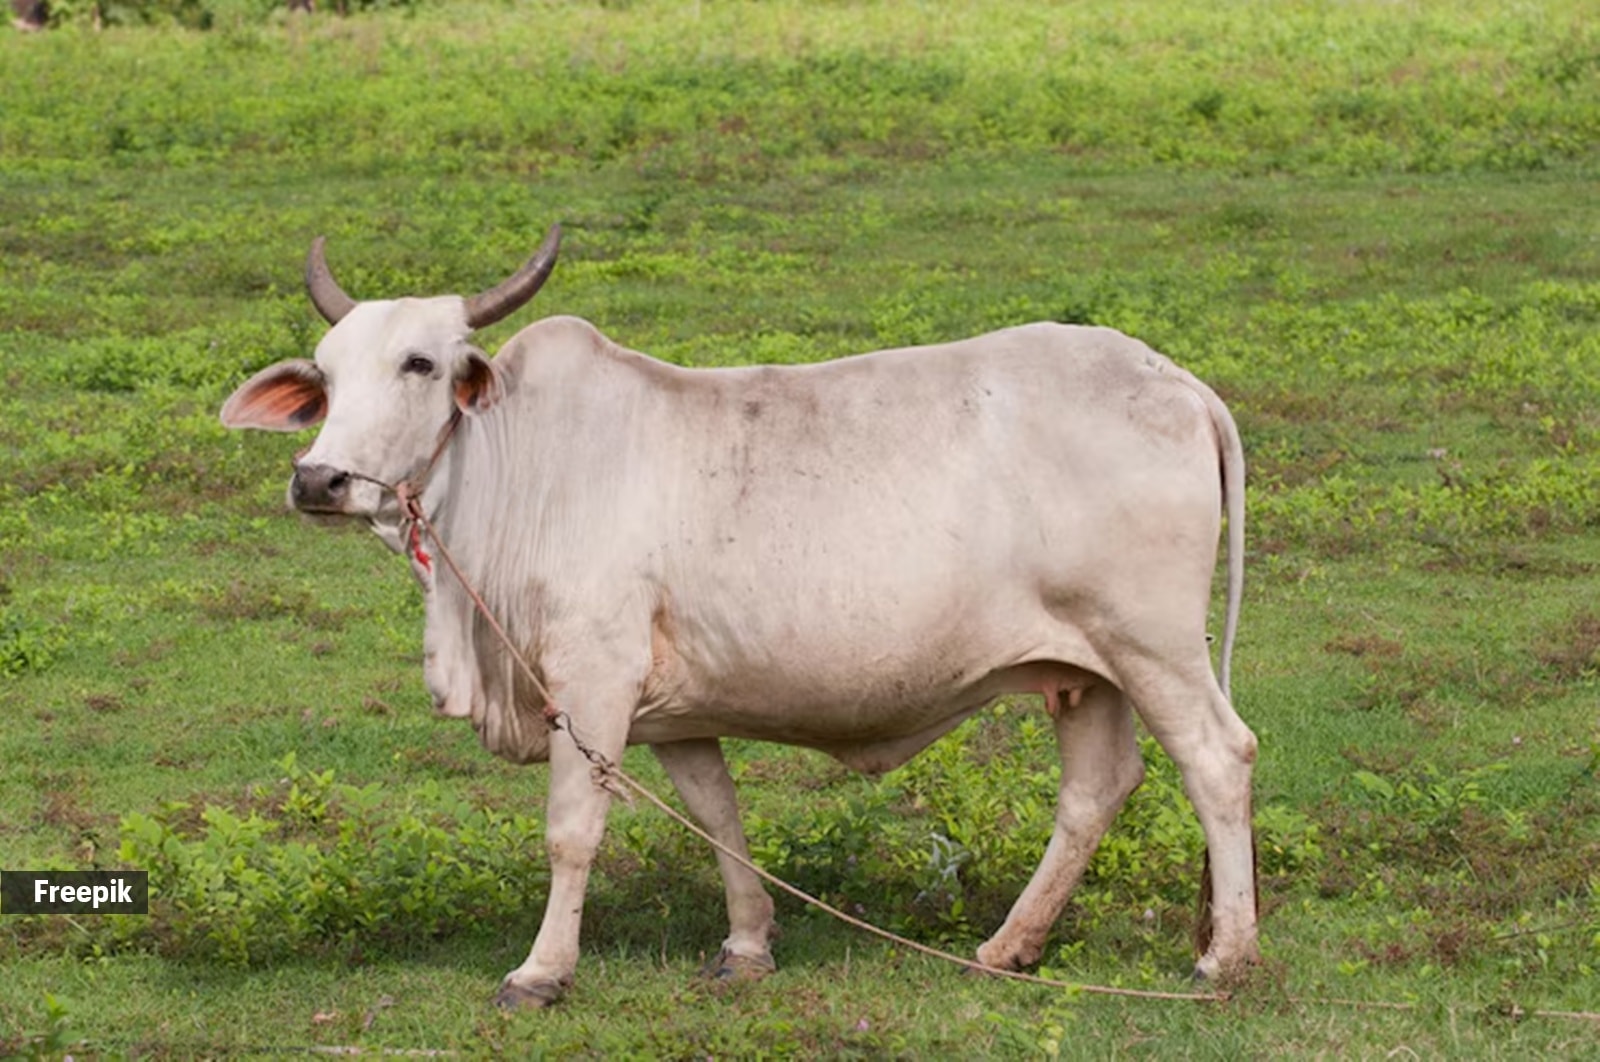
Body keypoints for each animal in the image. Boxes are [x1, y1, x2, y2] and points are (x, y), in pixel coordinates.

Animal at [220, 224, 1260, 1009]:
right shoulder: (674, 706)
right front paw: (748, 946)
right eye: (326, 373)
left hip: (1154, 647)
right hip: (1085, 670)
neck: (518, 463)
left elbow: (571, 828)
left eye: (419, 362)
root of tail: (1176, 381)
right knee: (1096, 788)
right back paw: (1010, 947)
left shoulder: (593, 678)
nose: (319, 479)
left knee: (1218, 760)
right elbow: (717, 814)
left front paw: (541, 972)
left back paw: (1224, 957)